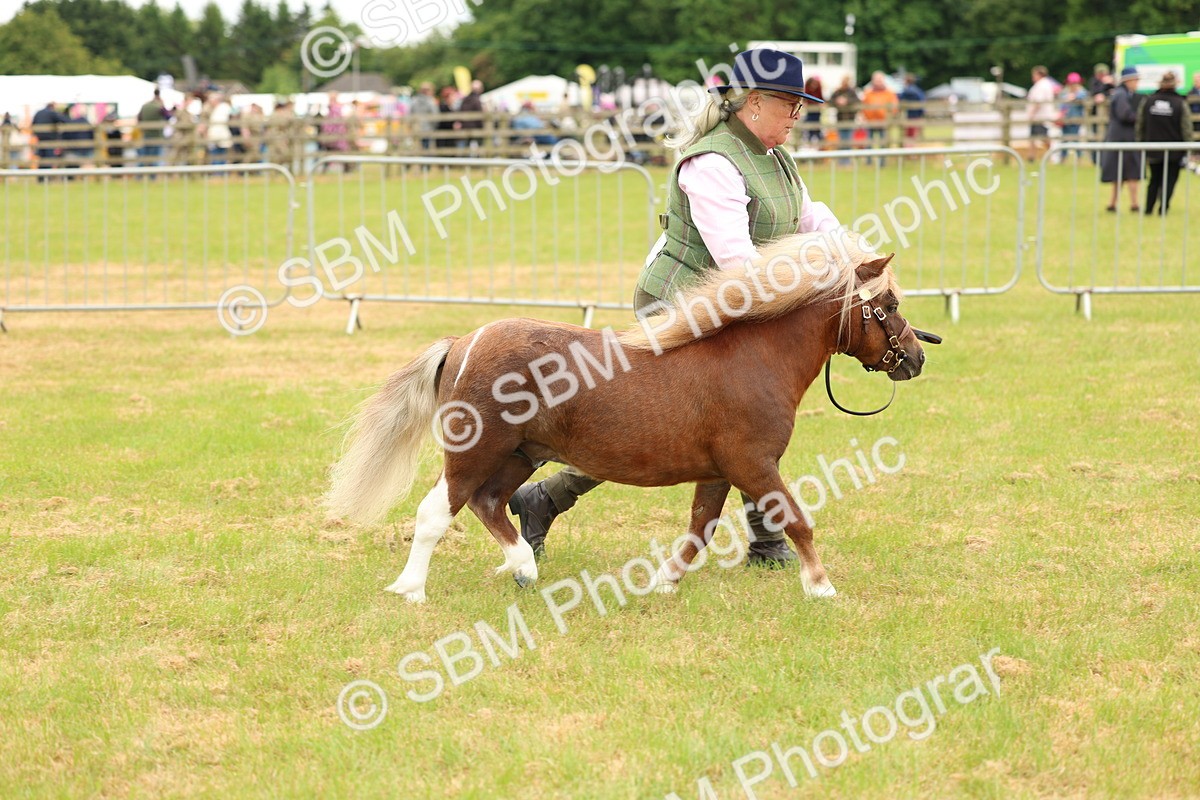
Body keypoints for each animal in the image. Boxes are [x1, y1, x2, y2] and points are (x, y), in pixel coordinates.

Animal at [325, 230, 932, 603]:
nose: (916, 357)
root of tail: (461, 342)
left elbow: (698, 531)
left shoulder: (719, 471)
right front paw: (821, 587)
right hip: (474, 450)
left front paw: (662, 583)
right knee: (437, 512)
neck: (754, 358)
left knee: (490, 503)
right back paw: (411, 589)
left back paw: (524, 568)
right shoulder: (754, 464)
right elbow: (796, 519)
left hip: (521, 454)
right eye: (890, 306)